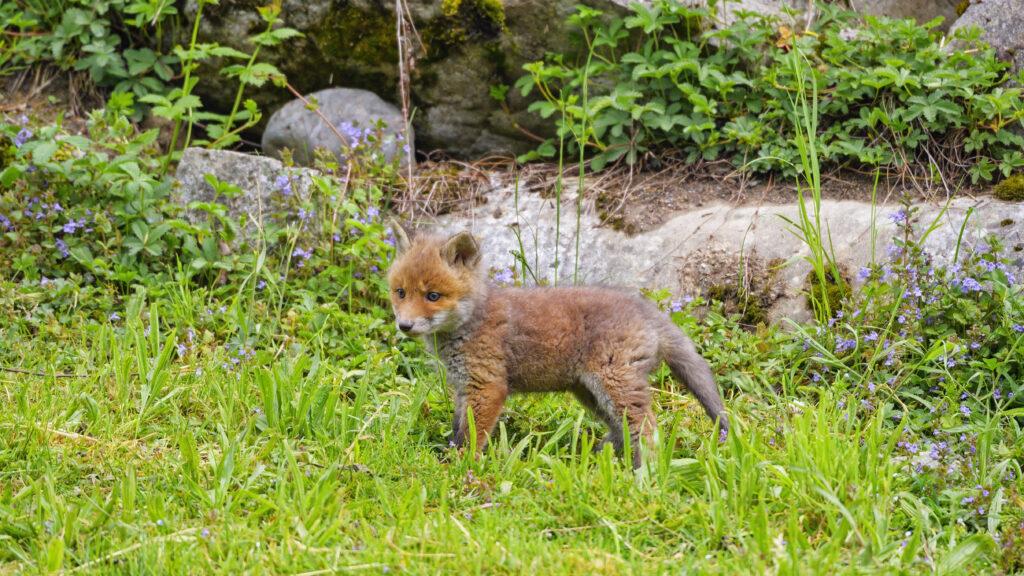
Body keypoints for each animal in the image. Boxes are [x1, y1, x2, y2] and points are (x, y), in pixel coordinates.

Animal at [386, 221, 728, 467]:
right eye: (400, 292)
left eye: (433, 296)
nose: (404, 326)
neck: (471, 322)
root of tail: (645, 307)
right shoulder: (463, 387)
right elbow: (458, 429)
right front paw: (449, 458)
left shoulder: (487, 387)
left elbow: (472, 435)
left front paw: (459, 467)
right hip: (590, 393)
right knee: (621, 431)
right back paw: (596, 458)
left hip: (614, 384)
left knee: (645, 428)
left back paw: (645, 473)